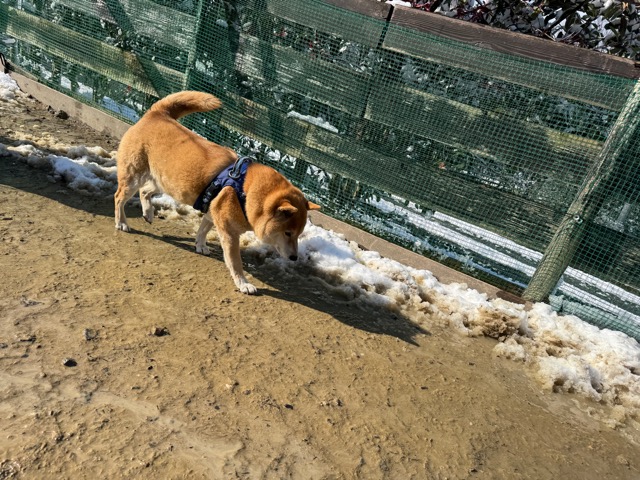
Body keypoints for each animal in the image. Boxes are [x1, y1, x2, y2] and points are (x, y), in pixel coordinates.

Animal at [114, 91, 320, 294]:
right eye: (288, 233)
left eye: (299, 233)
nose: (294, 258)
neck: (246, 191)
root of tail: (158, 114)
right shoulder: (229, 234)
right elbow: (235, 262)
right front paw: (243, 283)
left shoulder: (212, 213)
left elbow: (202, 230)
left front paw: (200, 245)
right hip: (134, 177)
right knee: (119, 198)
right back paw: (122, 222)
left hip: (164, 182)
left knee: (145, 191)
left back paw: (148, 213)